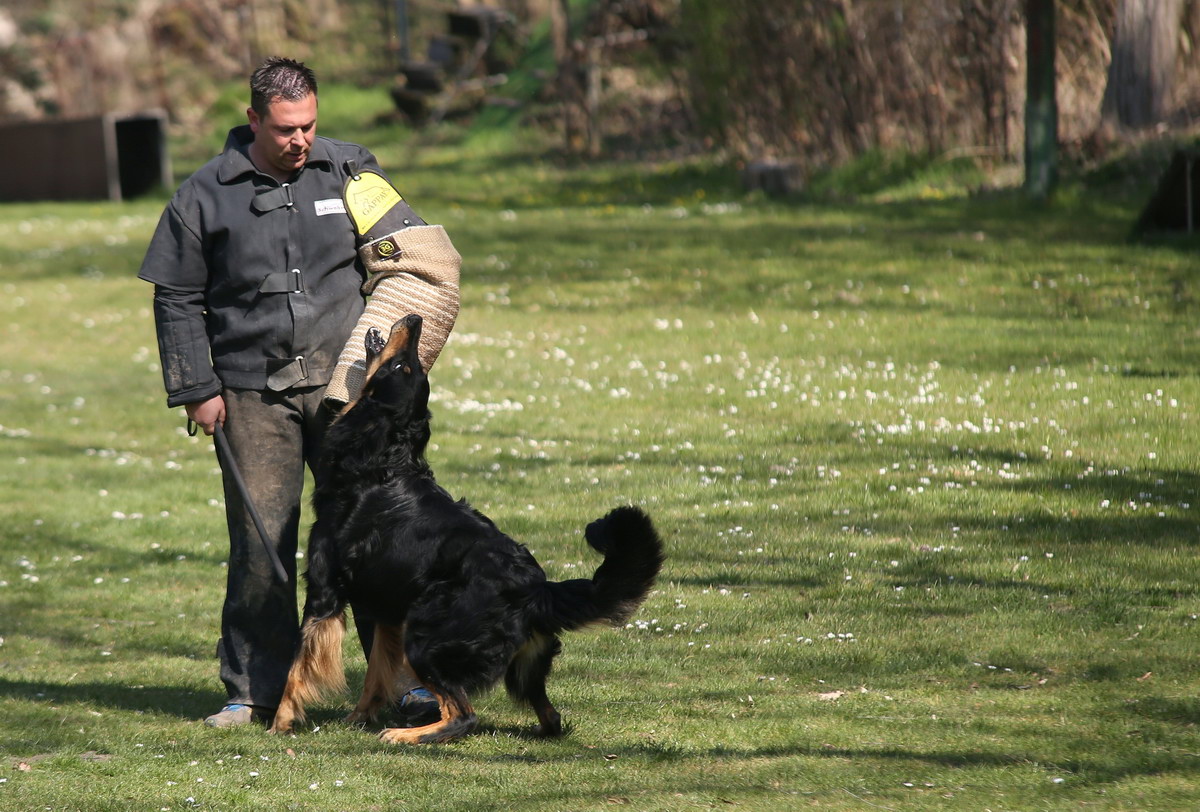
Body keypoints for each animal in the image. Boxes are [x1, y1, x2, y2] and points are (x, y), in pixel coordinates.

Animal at [268, 314, 667, 738]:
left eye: (403, 367)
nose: (415, 320)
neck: (381, 463)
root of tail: (535, 586)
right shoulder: (388, 611)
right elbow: (375, 673)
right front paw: (359, 717)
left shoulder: (324, 592)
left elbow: (296, 667)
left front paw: (280, 723)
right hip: (508, 660)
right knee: (552, 719)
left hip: (424, 638)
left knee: (462, 715)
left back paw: (405, 735)